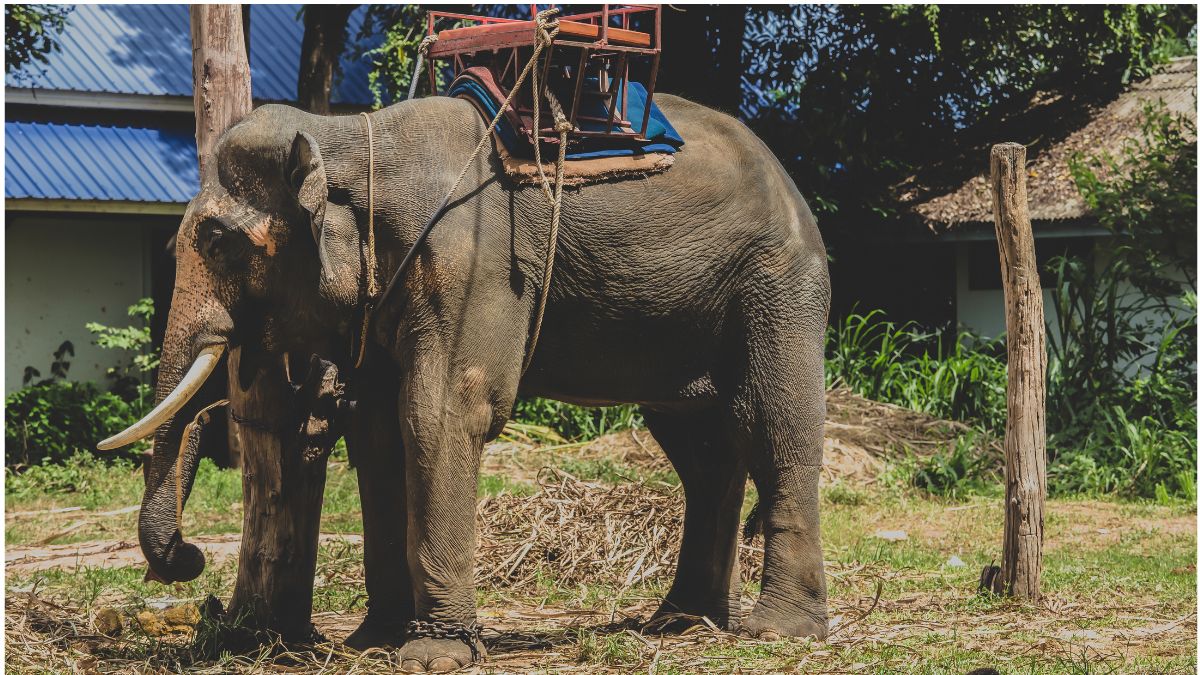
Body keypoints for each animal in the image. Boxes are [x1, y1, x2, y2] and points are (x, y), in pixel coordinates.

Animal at [98, 91, 830, 667]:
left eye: (218, 242)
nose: (190, 558)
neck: (349, 133)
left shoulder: (468, 259)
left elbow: (441, 411)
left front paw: (433, 653)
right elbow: (377, 431)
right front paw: (375, 640)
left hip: (777, 282)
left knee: (778, 430)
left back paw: (778, 631)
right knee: (701, 453)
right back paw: (679, 623)